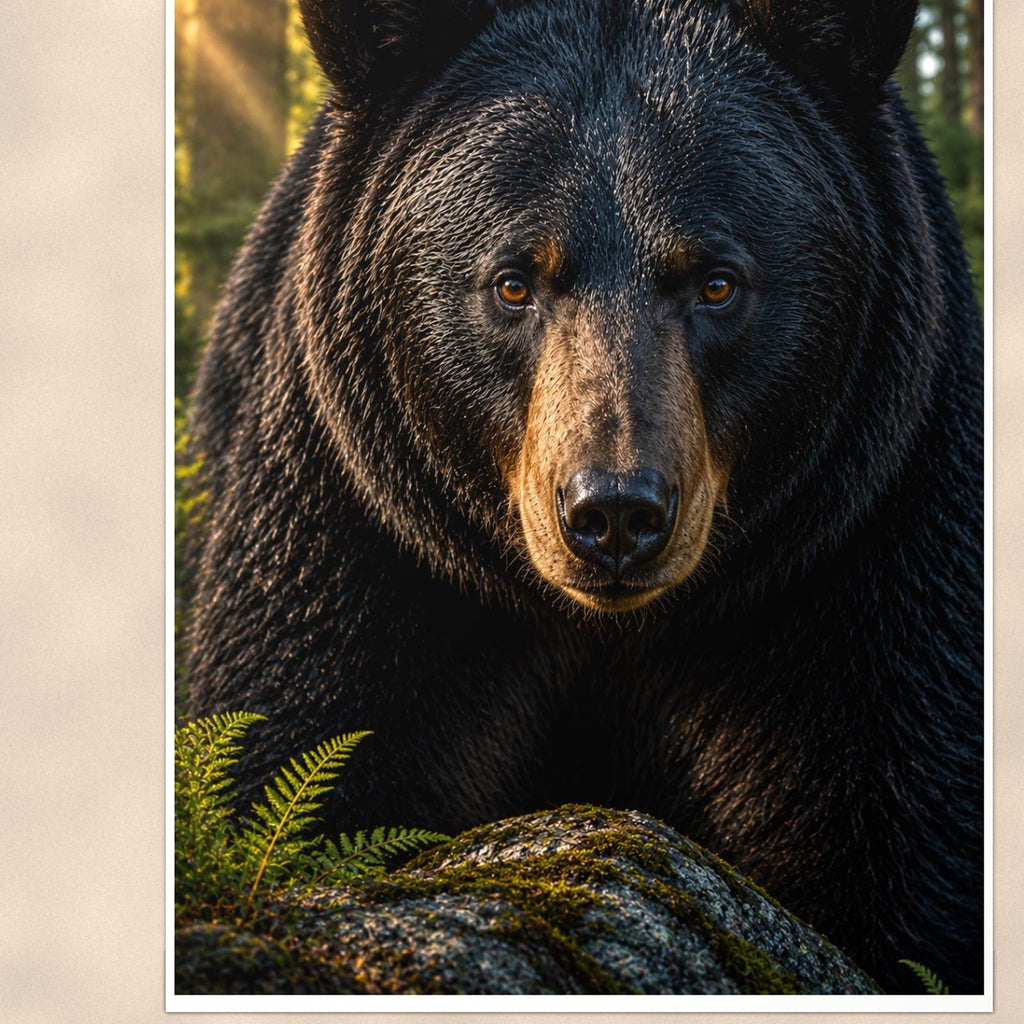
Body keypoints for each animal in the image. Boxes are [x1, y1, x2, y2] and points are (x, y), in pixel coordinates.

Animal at [186, 0, 984, 995]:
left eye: (716, 281)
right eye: (512, 280)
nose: (614, 514)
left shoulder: (866, 544)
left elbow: (901, 822)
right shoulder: (362, 529)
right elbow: (309, 733)